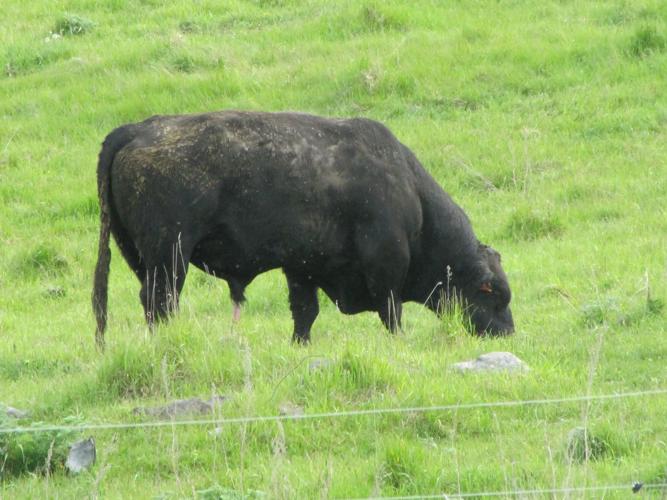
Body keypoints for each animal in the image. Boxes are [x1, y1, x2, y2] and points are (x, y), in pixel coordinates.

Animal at [92, 111, 514, 349]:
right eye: (491, 290)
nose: (507, 332)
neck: (410, 193)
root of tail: (134, 130)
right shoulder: (386, 268)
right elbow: (391, 313)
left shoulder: (301, 268)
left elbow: (304, 312)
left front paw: (300, 345)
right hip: (170, 255)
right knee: (161, 300)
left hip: (141, 256)